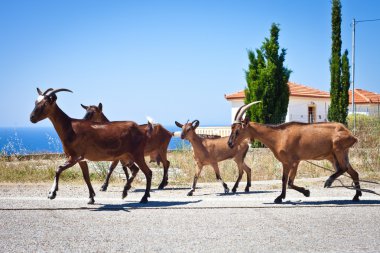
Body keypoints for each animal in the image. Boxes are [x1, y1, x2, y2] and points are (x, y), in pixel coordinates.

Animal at [229, 102, 362, 203]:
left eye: (237, 131)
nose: (229, 143)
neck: (278, 136)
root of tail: (351, 135)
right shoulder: (292, 162)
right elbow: (288, 181)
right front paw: (300, 193)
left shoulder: (291, 161)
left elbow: (286, 180)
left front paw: (284, 197)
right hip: (337, 155)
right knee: (353, 172)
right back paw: (356, 196)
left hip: (338, 149)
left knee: (344, 168)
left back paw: (329, 181)